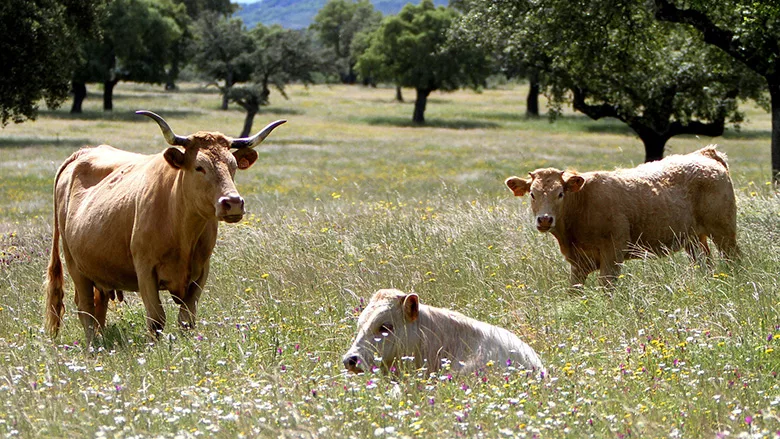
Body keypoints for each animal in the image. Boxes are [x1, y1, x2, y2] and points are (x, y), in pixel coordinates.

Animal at [45, 111, 286, 345]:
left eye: (233, 166)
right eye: (199, 167)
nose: (233, 202)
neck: (181, 229)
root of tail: (83, 153)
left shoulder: (201, 272)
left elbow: (187, 319)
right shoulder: (145, 270)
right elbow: (156, 319)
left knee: (98, 306)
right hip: (74, 264)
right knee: (85, 308)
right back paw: (92, 346)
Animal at [504, 145, 739, 288]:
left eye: (560, 193)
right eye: (532, 194)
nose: (545, 219)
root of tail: (704, 154)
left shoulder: (613, 253)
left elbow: (606, 288)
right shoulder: (578, 264)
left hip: (724, 232)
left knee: (734, 259)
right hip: (694, 239)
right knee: (705, 264)